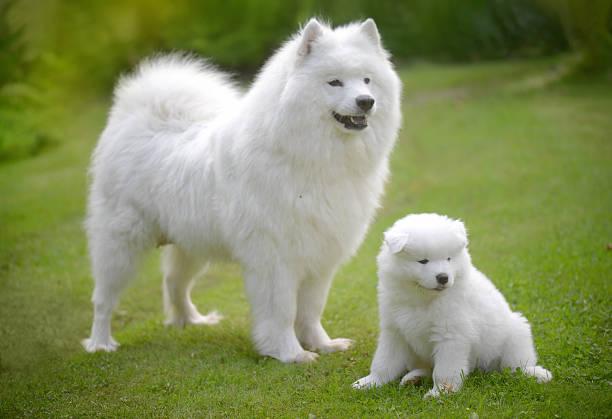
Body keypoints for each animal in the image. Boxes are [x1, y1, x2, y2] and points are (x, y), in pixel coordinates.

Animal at [83, 18, 404, 362]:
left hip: (191, 245)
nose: (366, 101)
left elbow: (311, 309)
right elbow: (282, 311)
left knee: (174, 283)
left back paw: (191, 320)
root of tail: (135, 119)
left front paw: (322, 344)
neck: (310, 156)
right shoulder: (275, 258)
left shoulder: (320, 255)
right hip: (120, 244)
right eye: (334, 82)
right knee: (103, 299)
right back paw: (100, 343)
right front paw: (290, 353)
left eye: (367, 80)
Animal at [352, 215, 552, 398]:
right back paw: (413, 378)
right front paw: (370, 382)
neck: (423, 299)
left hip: (515, 333)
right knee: (426, 367)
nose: (443, 277)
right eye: (423, 261)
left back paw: (535, 373)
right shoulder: (395, 331)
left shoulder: (450, 336)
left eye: (449, 258)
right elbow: (384, 362)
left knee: (515, 365)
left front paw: (440, 393)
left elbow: (443, 371)